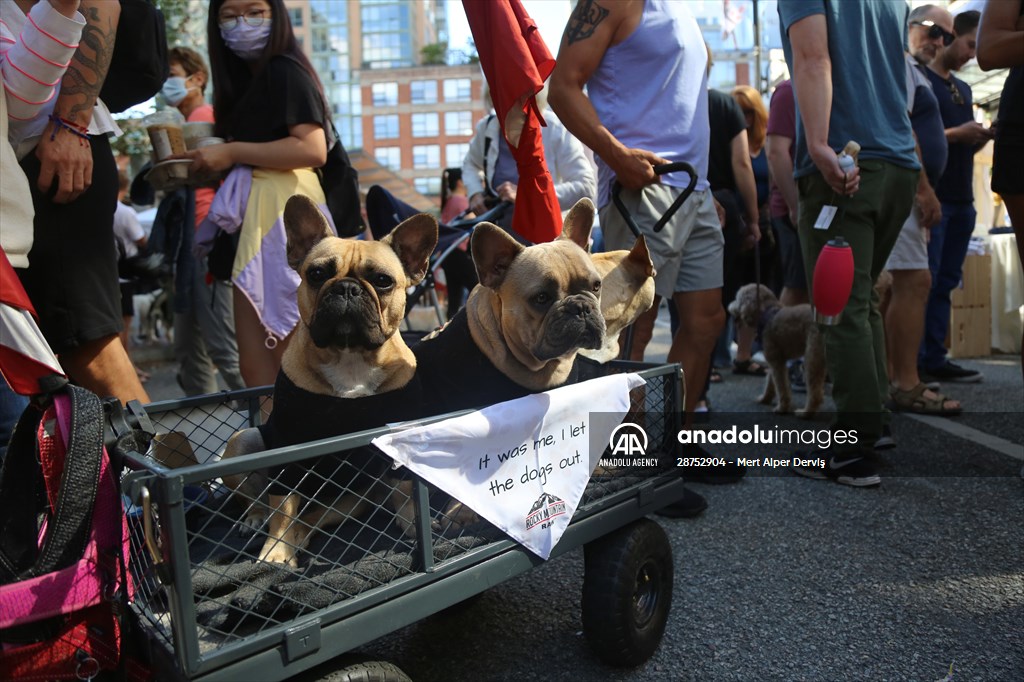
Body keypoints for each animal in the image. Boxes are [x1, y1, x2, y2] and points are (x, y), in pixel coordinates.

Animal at [729, 280, 823, 413]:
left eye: (737, 299)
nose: (729, 306)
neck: (766, 314)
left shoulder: (776, 360)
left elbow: (781, 385)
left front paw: (782, 407)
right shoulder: (775, 360)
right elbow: (771, 380)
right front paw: (765, 398)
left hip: (813, 355)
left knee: (815, 391)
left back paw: (806, 412)